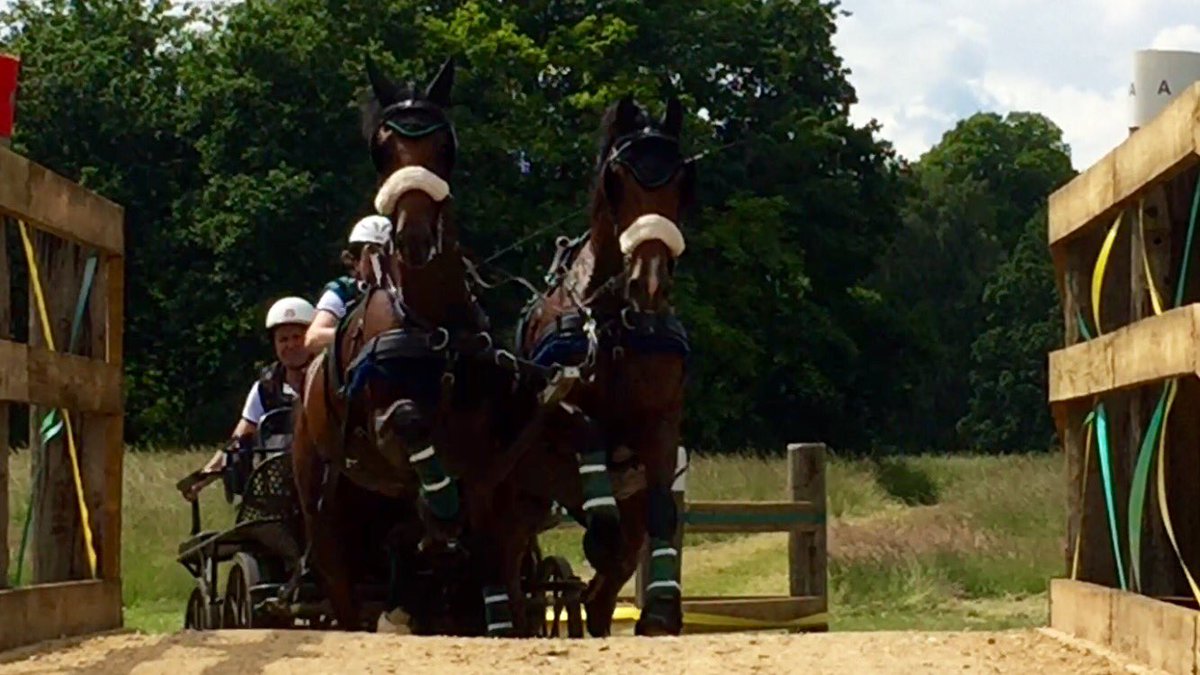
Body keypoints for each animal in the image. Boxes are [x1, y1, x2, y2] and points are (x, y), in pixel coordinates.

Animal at [517, 95, 695, 637]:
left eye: (683, 180)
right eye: (617, 179)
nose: (650, 281)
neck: (614, 323)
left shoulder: (662, 420)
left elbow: (660, 513)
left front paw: (660, 611)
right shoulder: (556, 400)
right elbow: (589, 427)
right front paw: (600, 531)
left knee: (603, 584)